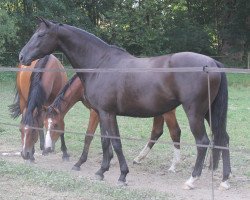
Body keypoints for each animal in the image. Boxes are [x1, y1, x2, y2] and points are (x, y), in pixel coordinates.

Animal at [45, 74, 181, 172]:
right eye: (45, 125)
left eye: (55, 125)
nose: (47, 149)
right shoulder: (103, 113)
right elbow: (106, 136)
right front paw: (108, 160)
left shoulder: (96, 112)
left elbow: (89, 136)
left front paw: (80, 163)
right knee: (157, 131)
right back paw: (139, 158)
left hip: (168, 113)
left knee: (175, 132)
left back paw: (174, 166)